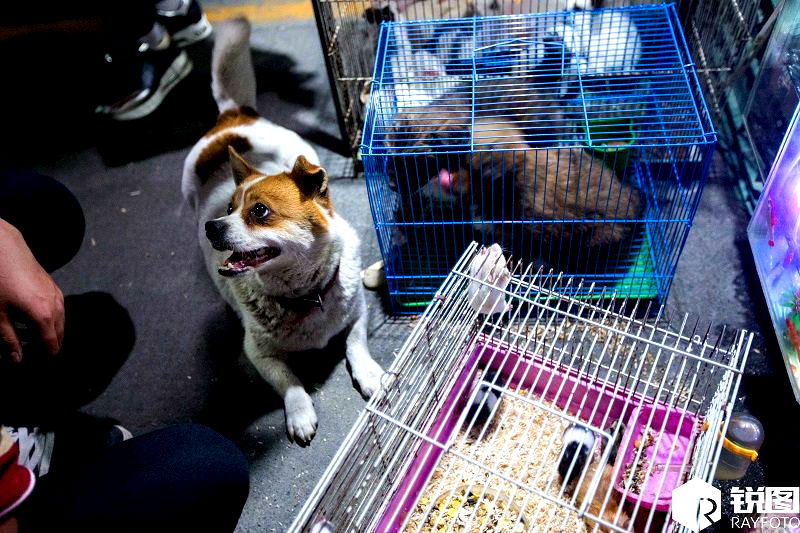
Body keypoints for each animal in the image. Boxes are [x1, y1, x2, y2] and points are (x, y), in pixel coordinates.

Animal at [183, 18, 382, 444]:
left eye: (259, 211)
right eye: (229, 210)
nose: (212, 227)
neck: (306, 295)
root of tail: (232, 116)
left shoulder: (357, 313)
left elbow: (355, 344)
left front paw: (370, 374)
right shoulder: (259, 354)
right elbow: (288, 380)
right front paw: (300, 412)